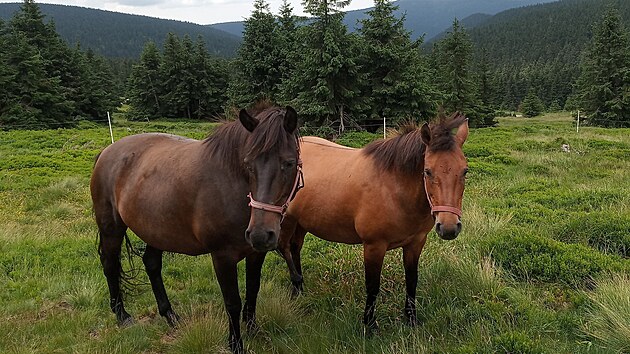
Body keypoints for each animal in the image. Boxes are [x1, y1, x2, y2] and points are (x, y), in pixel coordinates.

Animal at [90, 104, 304, 352]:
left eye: (289, 163)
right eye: (248, 164)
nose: (260, 234)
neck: (232, 186)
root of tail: (107, 151)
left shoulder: (256, 253)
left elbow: (253, 290)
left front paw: (253, 329)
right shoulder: (222, 257)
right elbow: (232, 302)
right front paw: (235, 344)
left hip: (157, 230)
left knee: (151, 264)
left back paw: (170, 315)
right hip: (111, 229)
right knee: (110, 265)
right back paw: (122, 315)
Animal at [278, 114, 470, 332]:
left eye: (465, 171)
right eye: (427, 171)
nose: (448, 227)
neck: (393, 188)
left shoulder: (415, 243)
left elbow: (412, 281)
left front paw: (411, 319)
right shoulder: (374, 246)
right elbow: (372, 286)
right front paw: (369, 325)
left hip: (301, 222)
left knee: (295, 248)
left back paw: (300, 288)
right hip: (286, 219)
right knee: (284, 248)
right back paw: (296, 286)